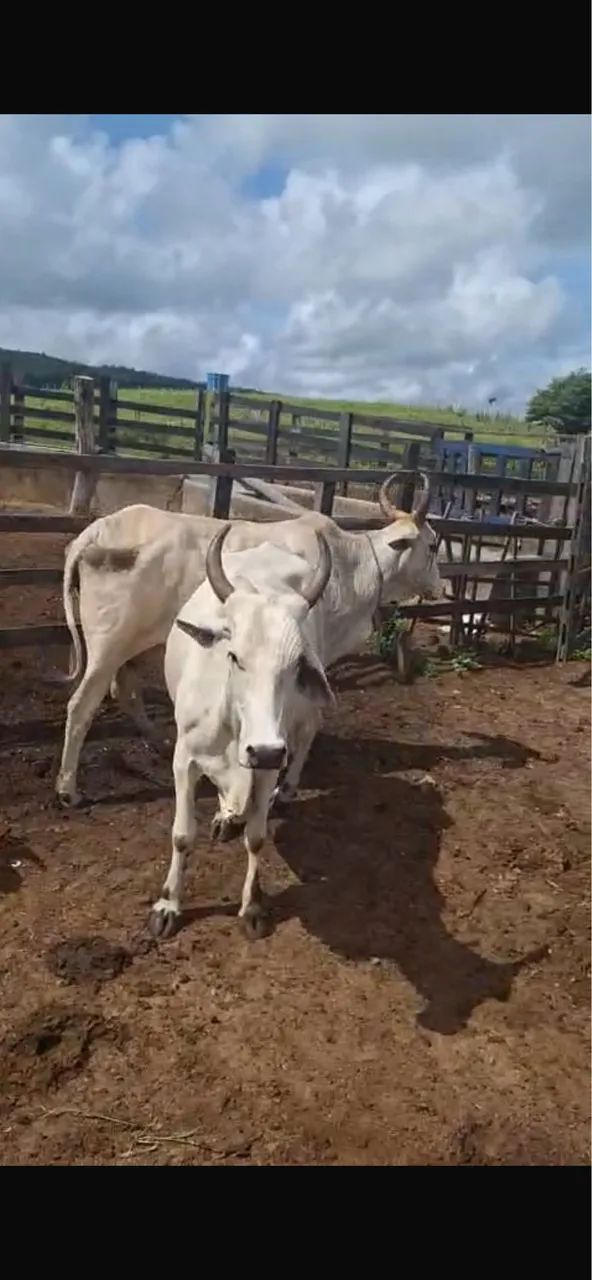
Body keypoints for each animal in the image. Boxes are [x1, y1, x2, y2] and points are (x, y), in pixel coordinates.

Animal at [55, 473, 442, 807]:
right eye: (433, 545)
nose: (440, 587)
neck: (349, 567)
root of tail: (97, 529)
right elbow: (310, 724)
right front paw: (286, 787)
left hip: (134, 647)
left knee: (126, 691)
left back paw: (160, 742)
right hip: (108, 646)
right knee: (81, 706)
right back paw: (67, 789)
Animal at [150, 523, 334, 942]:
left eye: (297, 665)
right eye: (234, 656)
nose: (263, 750)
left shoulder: (267, 765)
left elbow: (257, 837)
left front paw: (252, 906)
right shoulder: (184, 761)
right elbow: (182, 835)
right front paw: (168, 904)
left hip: (299, 725)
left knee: (306, 739)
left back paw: (284, 792)